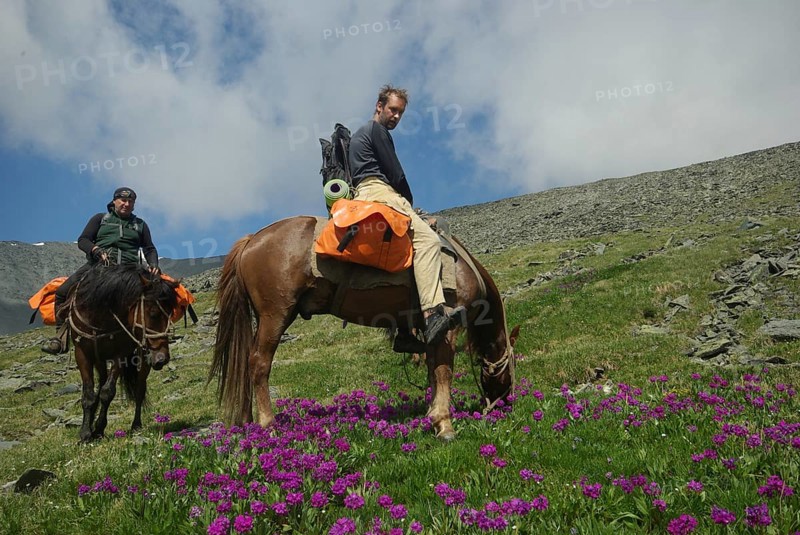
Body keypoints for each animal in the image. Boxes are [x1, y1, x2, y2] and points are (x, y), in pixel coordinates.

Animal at [64, 264, 179, 442]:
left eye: (171, 313)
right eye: (153, 313)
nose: (162, 358)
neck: (101, 318)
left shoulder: (121, 354)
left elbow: (107, 392)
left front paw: (98, 429)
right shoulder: (82, 353)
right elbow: (89, 394)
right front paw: (85, 432)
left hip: (143, 357)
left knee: (139, 389)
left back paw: (136, 424)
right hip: (100, 359)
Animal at [210, 216, 518, 440]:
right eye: (511, 365)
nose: (505, 404)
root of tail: (252, 240)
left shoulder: (430, 331)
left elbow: (433, 370)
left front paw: (432, 414)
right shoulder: (448, 325)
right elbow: (443, 372)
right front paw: (443, 423)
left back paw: (248, 423)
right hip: (276, 315)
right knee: (259, 363)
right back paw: (268, 425)